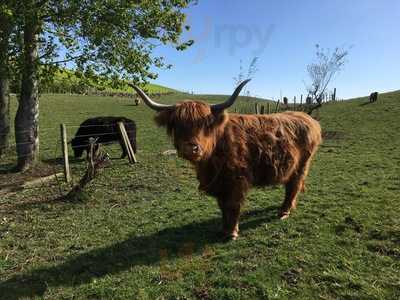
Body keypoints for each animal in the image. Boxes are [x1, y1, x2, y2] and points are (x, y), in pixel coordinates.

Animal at [134, 79, 322, 239]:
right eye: (176, 124)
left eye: (205, 124)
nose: (190, 148)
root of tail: (308, 118)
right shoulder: (219, 183)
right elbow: (222, 205)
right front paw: (224, 230)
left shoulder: (236, 180)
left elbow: (232, 205)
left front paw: (231, 232)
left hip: (302, 165)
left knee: (293, 186)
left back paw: (284, 212)